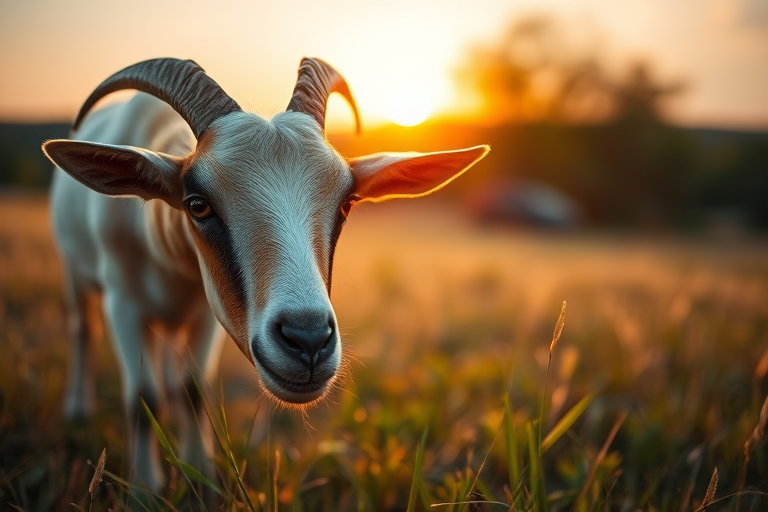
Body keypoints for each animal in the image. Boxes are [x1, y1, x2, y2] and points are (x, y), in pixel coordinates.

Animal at [42, 58, 489, 490]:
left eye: (346, 203)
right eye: (197, 204)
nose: (308, 340)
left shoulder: (205, 313)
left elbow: (193, 391)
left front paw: (200, 474)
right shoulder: (124, 305)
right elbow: (143, 397)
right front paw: (146, 488)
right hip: (75, 274)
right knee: (82, 328)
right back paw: (78, 411)